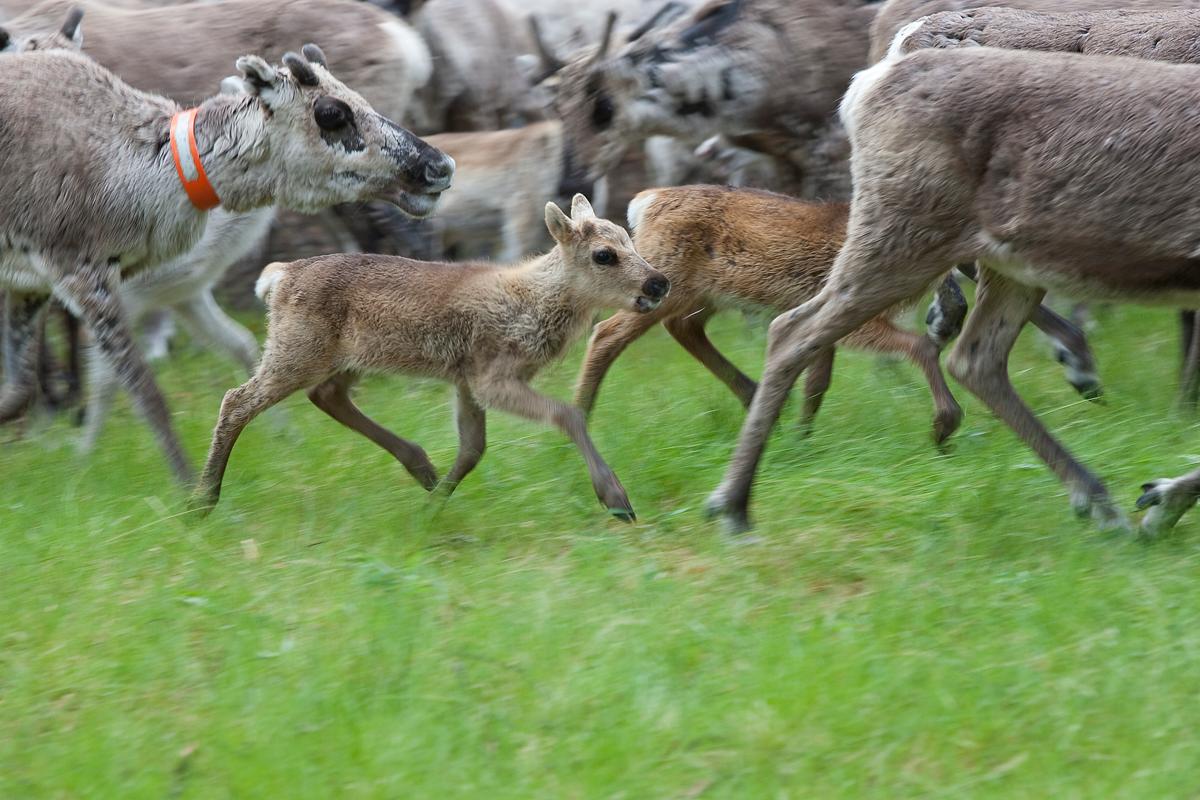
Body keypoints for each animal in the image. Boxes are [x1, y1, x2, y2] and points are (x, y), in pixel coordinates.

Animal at [192, 194, 672, 520]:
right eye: (604, 255)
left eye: (630, 238)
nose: (658, 283)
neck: (531, 303)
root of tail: (277, 278)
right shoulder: (490, 375)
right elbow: (568, 413)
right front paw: (616, 499)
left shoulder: (466, 379)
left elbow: (473, 448)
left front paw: (436, 505)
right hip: (296, 349)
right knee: (236, 401)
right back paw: (202, 501)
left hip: (344, 360)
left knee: (326, 395)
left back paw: (422, 468)